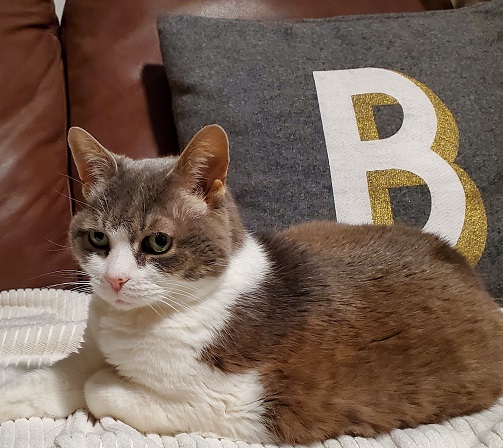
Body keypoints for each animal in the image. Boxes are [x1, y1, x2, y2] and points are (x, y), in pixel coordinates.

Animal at [0, 124, 503, 442]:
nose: (116, 279)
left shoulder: (238, 404)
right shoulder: (90, 348)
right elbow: (59, 378)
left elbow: (99, 387)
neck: (135, 323)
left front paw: (105, 382)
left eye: (158, 242)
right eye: (99, 239)